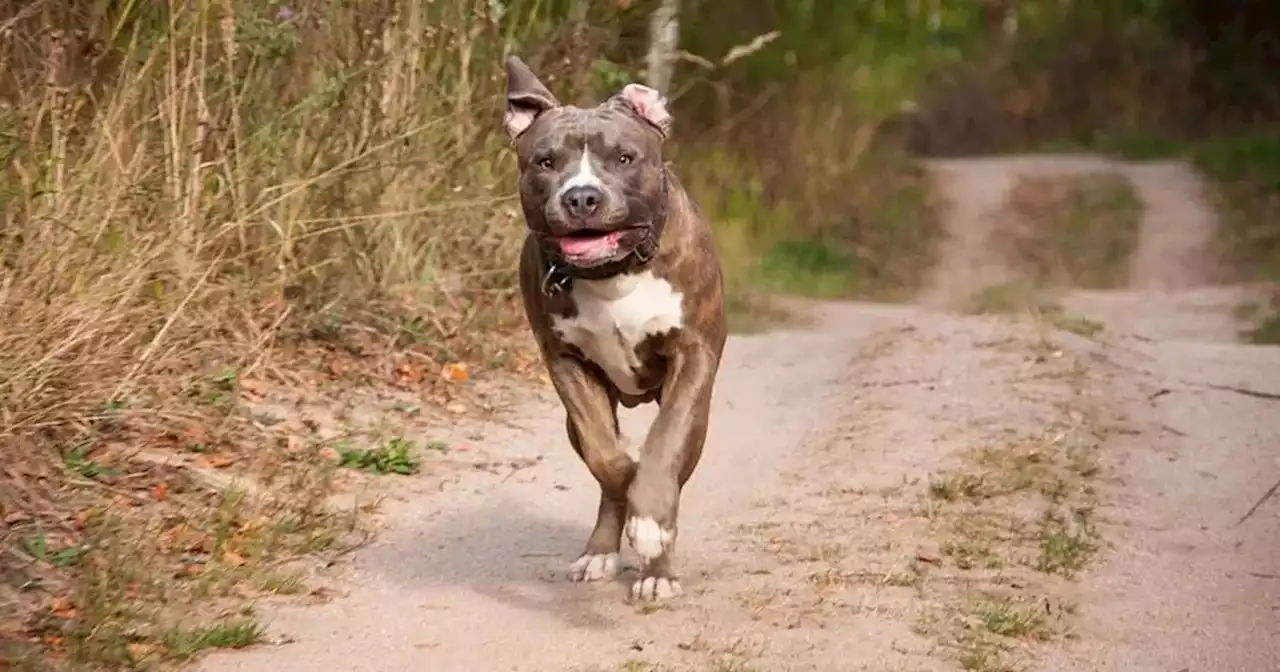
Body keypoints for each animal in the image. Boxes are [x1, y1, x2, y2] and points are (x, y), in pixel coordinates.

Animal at [499, 57, 727, 599]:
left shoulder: (692, 355)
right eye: (545, 161)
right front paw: (628, 486)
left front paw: (652, 525)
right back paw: (601, 550)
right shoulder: (566, 363)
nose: (582, 197)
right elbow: (606, 457)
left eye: (624, 158)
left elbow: (664, 447)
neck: (614, 273)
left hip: (700, 414)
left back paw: (658, 569)